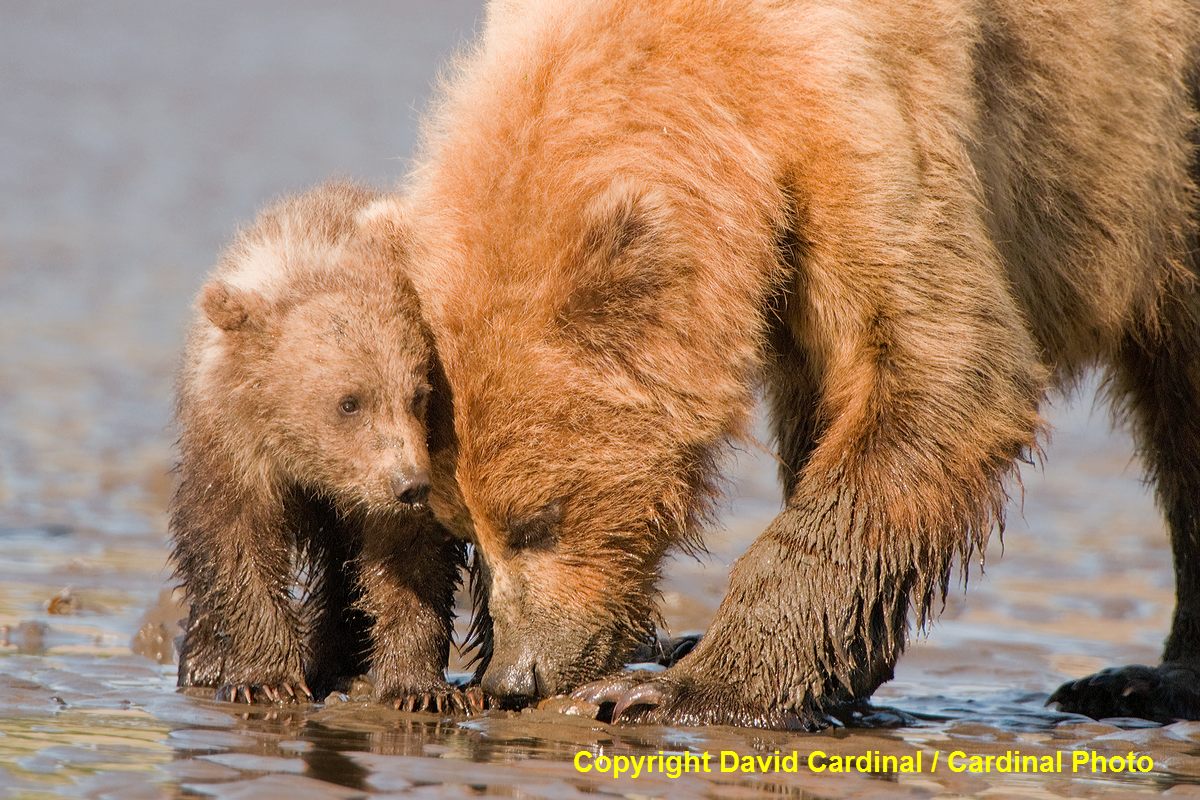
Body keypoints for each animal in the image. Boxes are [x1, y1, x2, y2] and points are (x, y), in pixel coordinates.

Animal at [388, 0, 1195, 729]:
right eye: (465, 527)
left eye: (538, 522)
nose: (516, 677)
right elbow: (827, 410)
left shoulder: (867, 126)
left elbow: (942, 375)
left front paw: (674, 687)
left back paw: (1139, 682)